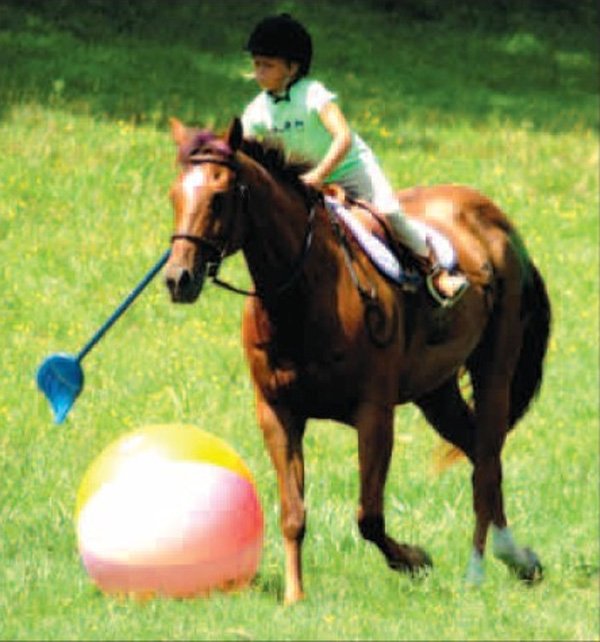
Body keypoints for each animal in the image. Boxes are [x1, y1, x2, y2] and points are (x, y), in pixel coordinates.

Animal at [163, 117, 548, 604]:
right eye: (174, 195)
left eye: (219, 196)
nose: (178, 278)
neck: (302, 295)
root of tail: (499, 222)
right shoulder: (277, 412)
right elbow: (293, 512)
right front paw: (294, 595)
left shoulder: (374, 413)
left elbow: (369, 516)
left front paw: (415, 560)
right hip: (435, 391)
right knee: (478, 452)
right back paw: (518, 559)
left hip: (493, 370)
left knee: (488, 461)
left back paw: (479, 568)